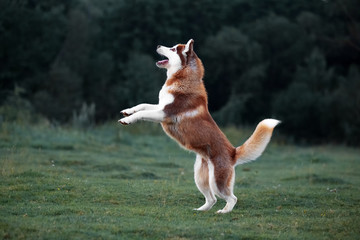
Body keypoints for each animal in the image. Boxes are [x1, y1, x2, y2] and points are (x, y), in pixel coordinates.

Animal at [119, 39, 280, 214]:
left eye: (173, 49)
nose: (158, 45)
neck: (182, 78)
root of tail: (233, 152)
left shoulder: (165, 113)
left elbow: (142, 113)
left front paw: (128, 120)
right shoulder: (160, 107)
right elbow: (142, 105)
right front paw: (127, 111)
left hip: (217, 182)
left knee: (232, 198)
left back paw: (224, 212)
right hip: (200, 178)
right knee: (212, 199)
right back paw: (200, 210)